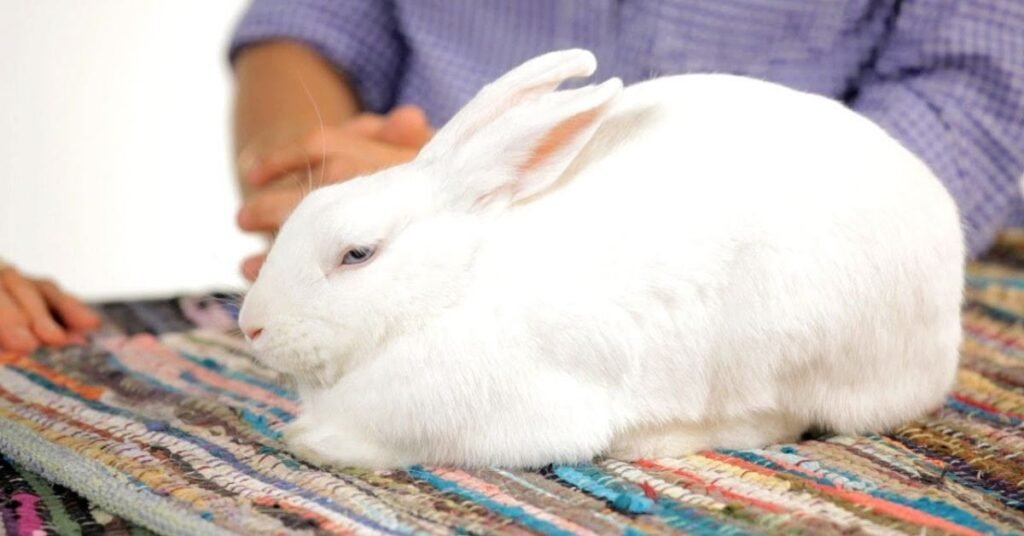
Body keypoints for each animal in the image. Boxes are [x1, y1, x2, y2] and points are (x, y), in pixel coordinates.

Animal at [238, 49, 964, 469]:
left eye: (356, 254)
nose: (250, 326)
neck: (454, 288)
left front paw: (315, 443)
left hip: (784, 346)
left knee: (773, 418)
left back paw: (655, 440)